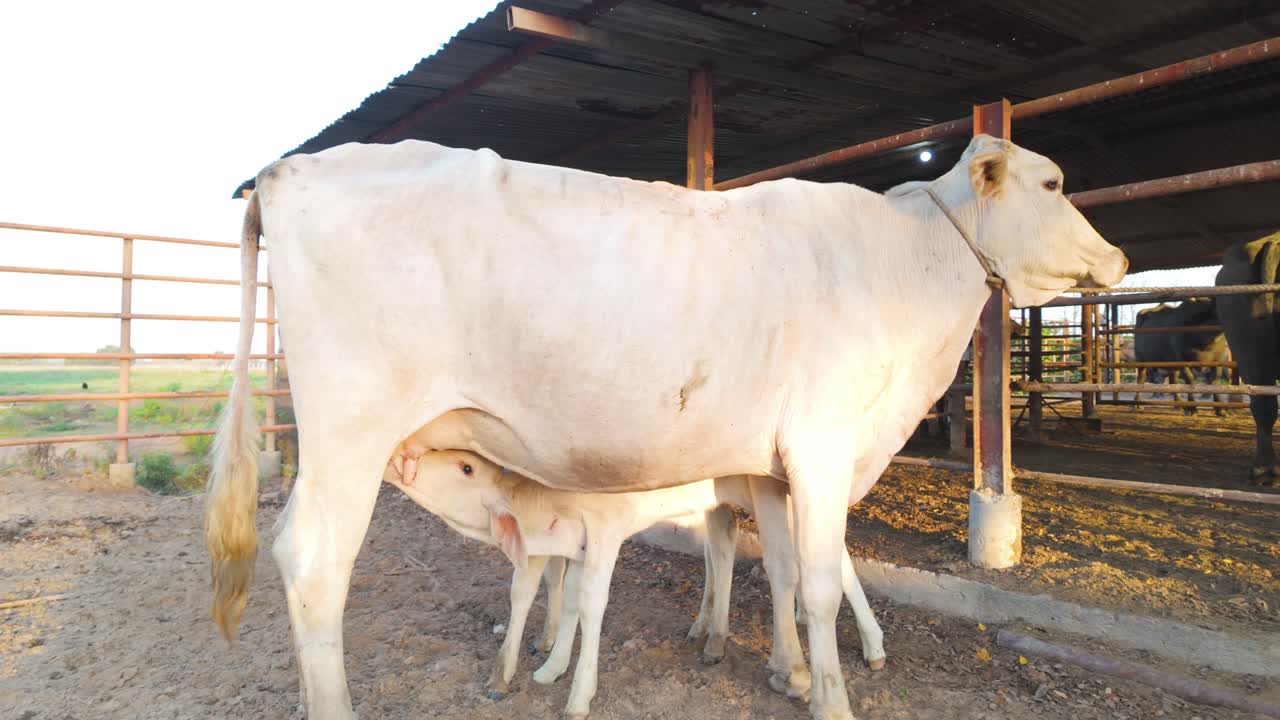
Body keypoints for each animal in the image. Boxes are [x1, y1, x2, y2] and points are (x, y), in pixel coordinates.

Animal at [386, 449, 884, 717]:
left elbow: (587, 602)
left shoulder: (603, 530)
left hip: (791, 495)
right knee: (724, 549)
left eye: (465, 467)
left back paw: (868, 645)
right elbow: (551, 596)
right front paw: (543, 667)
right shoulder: (568, 543)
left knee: (830, 558)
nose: (398, 461)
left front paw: (575, 694)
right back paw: (712, 635)